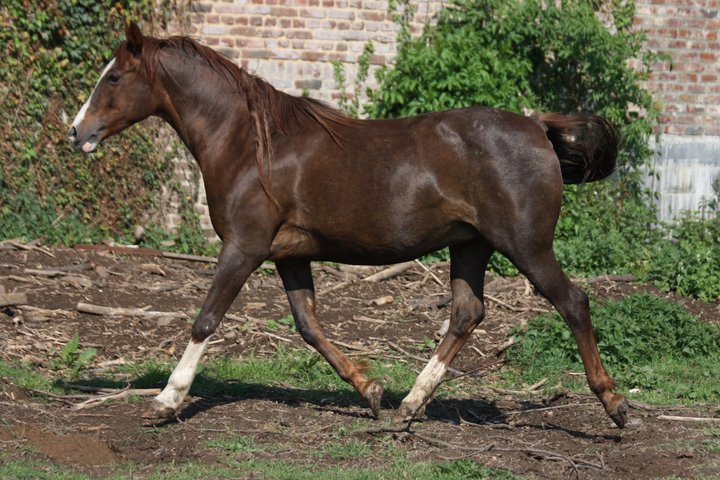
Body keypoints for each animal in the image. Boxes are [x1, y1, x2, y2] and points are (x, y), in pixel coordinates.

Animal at [69, 21, 632, 428]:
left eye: (113, 77)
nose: (76, 132)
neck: (250, 144)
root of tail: (537, 126)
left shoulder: (243, 247)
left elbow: (206, 319)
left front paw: (165, 401)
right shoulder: (290, 255)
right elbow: (309, 326)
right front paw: (372, 391)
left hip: (526, 246)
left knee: (573, 302)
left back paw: (615, 405)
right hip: (471, 246)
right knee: (466, 315)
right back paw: (408, 408)